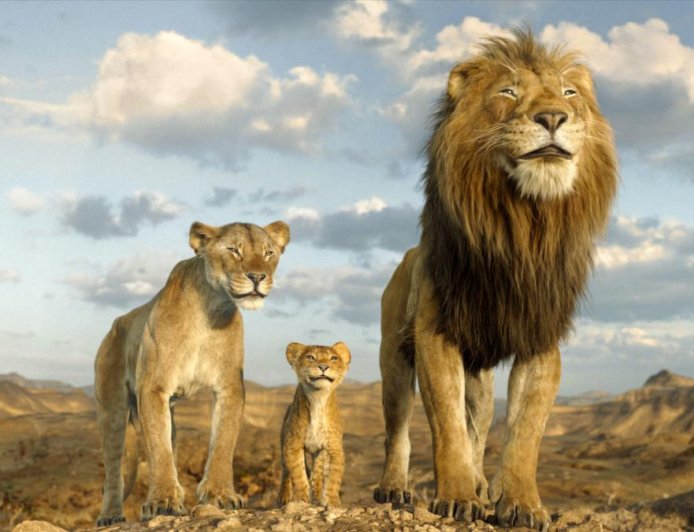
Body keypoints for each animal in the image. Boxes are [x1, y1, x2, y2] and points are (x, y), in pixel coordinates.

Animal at [94, 220, 290, 525]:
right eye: (233, 250)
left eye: (268, 252)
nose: (258, 276)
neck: (210, 309)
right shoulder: (153, 387)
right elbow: (159, 449)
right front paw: (162, 501)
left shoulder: (229, 386)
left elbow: (223, 441)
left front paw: (220, 494)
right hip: (111, 409)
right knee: (114, 467)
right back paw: (111, 515)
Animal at [277, 342, 351, 508]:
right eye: (310, 357)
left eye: (333, 358)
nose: (323, 366)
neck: (318, 397)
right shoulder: (292, 445)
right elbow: (298, 475)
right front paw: (300, 500)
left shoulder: (334, 448)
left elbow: (333, 479)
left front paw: (332, 502)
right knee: (285, 473)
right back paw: (283, 498)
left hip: (320, 454)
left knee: (317, 476)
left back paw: (317, 498)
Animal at [373, 30, 617, 530]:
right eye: (508, 92)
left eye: (570, 93)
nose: (553, 117)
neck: (522, 225)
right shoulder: (435, 334)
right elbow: (446, 427)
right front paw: (456, 496)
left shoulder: (540, 337)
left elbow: (524, 432)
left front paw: (521, 504)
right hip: (393, 358)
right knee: (398, 428)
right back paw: (394, 488)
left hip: (480, 380)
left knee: (479, 427)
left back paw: (482, 483)